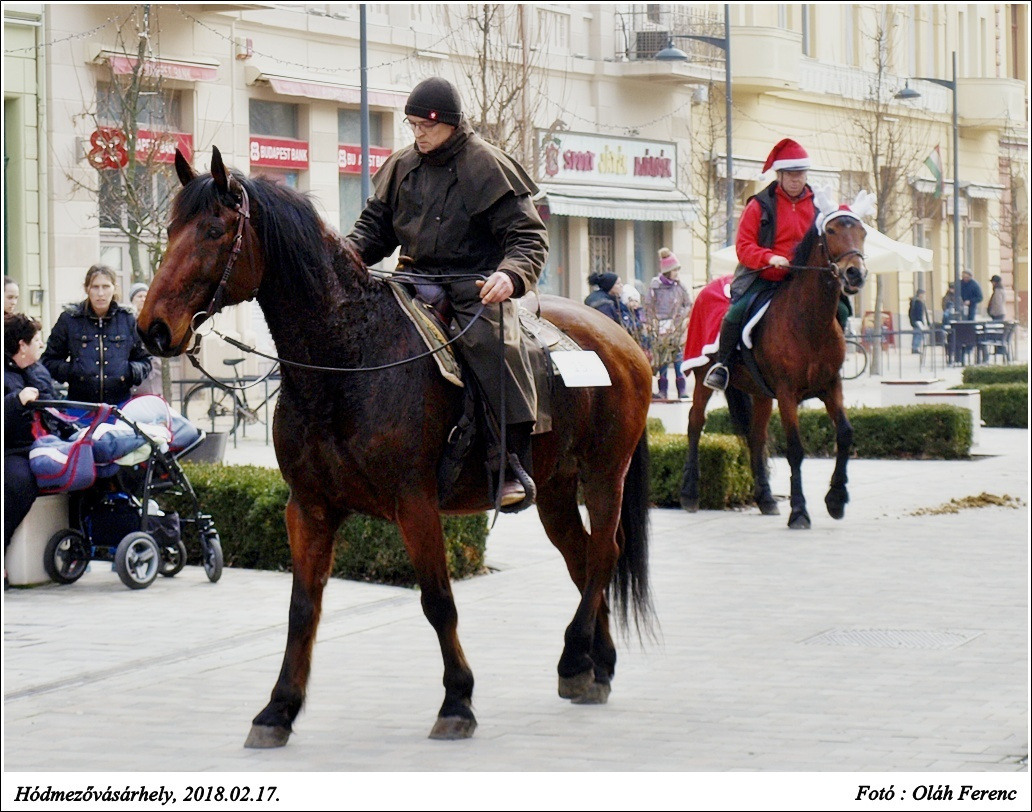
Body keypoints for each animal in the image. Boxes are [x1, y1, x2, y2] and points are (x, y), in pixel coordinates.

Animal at [137, 149, 652, 746]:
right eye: (169, 229)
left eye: (214, 231)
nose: (152, 328)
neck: (347, 358)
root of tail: (621, 338)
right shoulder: (308, 508)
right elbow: (302, 607)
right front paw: (278, 709)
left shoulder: (416, 504)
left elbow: (437, 601)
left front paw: (457, 700)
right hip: (555, 489)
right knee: (583, 558)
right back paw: (597, 664)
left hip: (604, 476)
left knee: (604, 554)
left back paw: (574, 658)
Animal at [681, 218, 866, 532]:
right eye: (831, 231)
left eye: (863, 232)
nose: (855, 273)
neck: (809, 321)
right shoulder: (787, 393)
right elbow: (795, 449)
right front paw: (799, 511)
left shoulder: (831, 386)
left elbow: (845, 433)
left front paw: (836, 499)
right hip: (702, 377)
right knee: (695, 423)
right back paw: (691, 493)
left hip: (760, 393)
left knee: (756, 436)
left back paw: (766, 498)